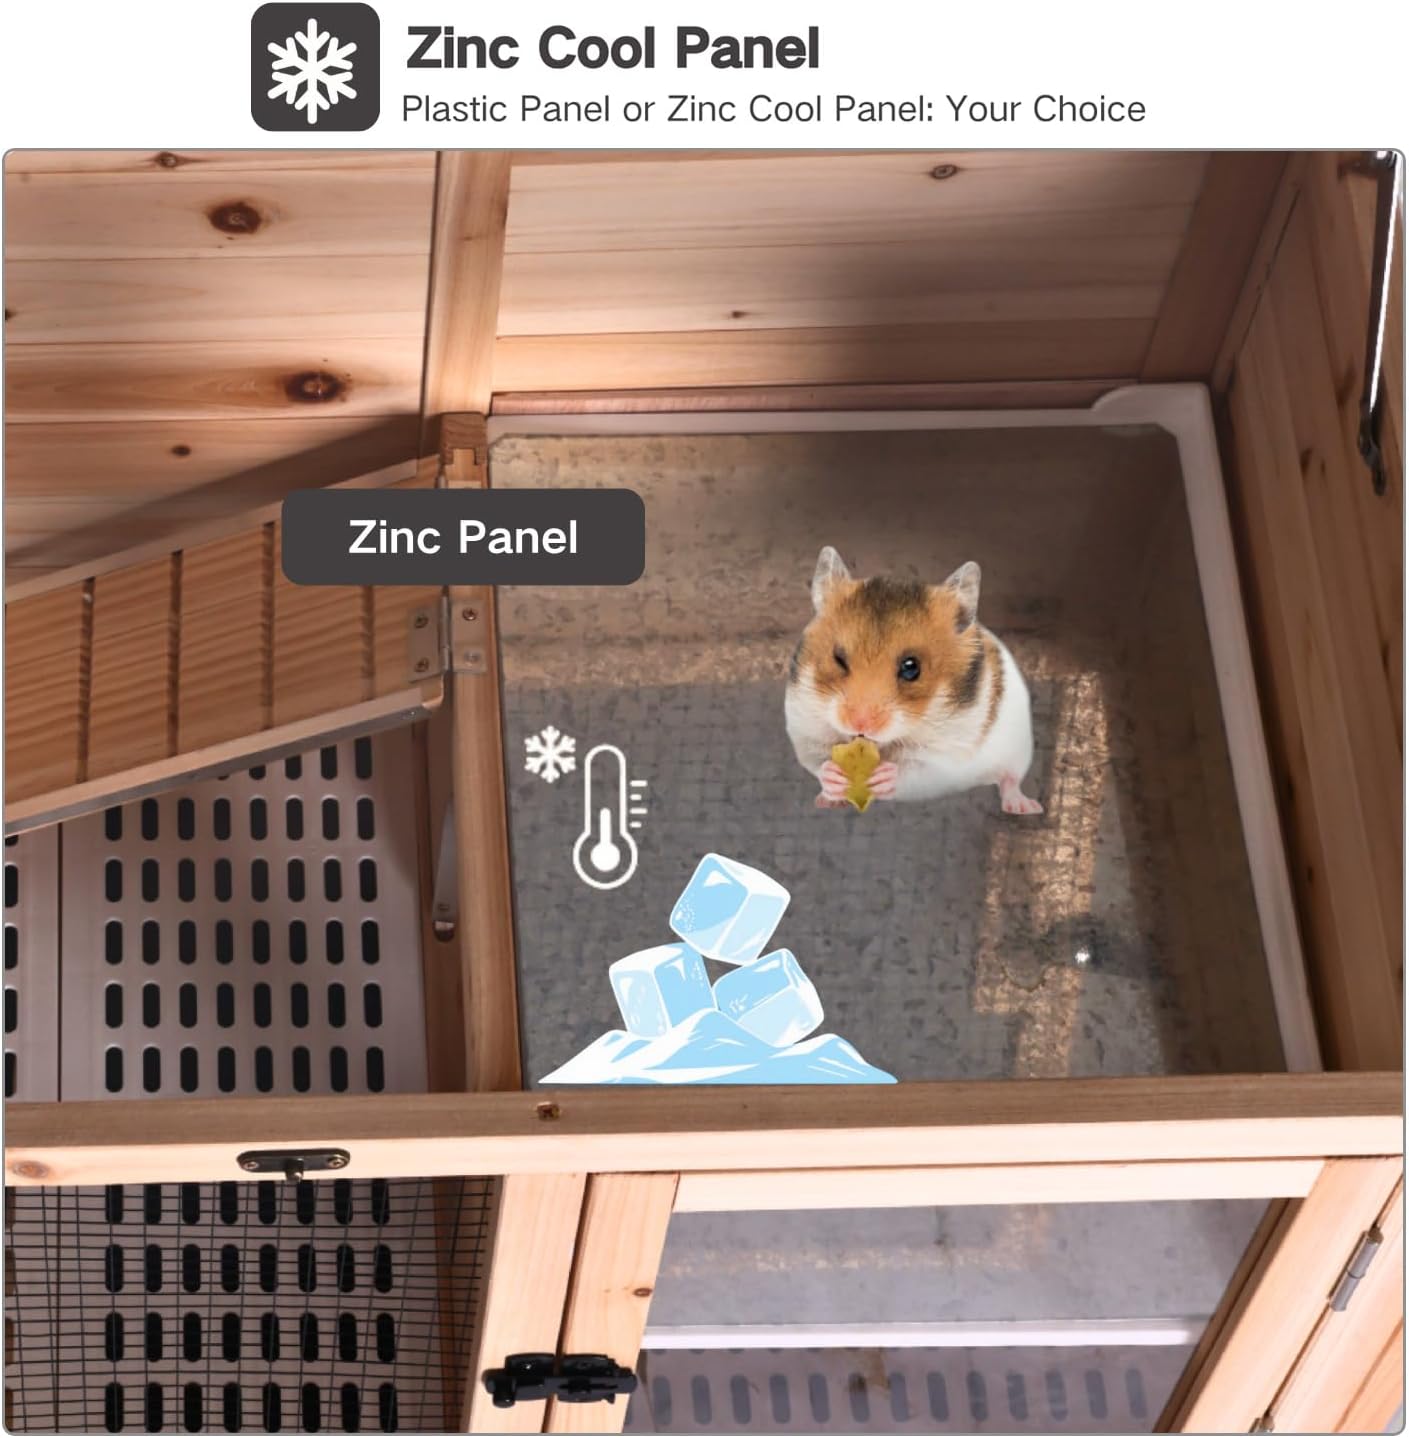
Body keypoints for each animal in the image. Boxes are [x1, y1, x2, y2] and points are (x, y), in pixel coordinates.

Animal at [784, 546, 1043, 816]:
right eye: (838, 659)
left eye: (911, 668)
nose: (859, 724)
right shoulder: (805, 729)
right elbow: (817, 761)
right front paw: (833, 778)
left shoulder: (944, 756)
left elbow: (915, 769)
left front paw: (884, 775)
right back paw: (826, 801)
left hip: (1018, 750)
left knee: (1010, 779)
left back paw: (1025, 807)